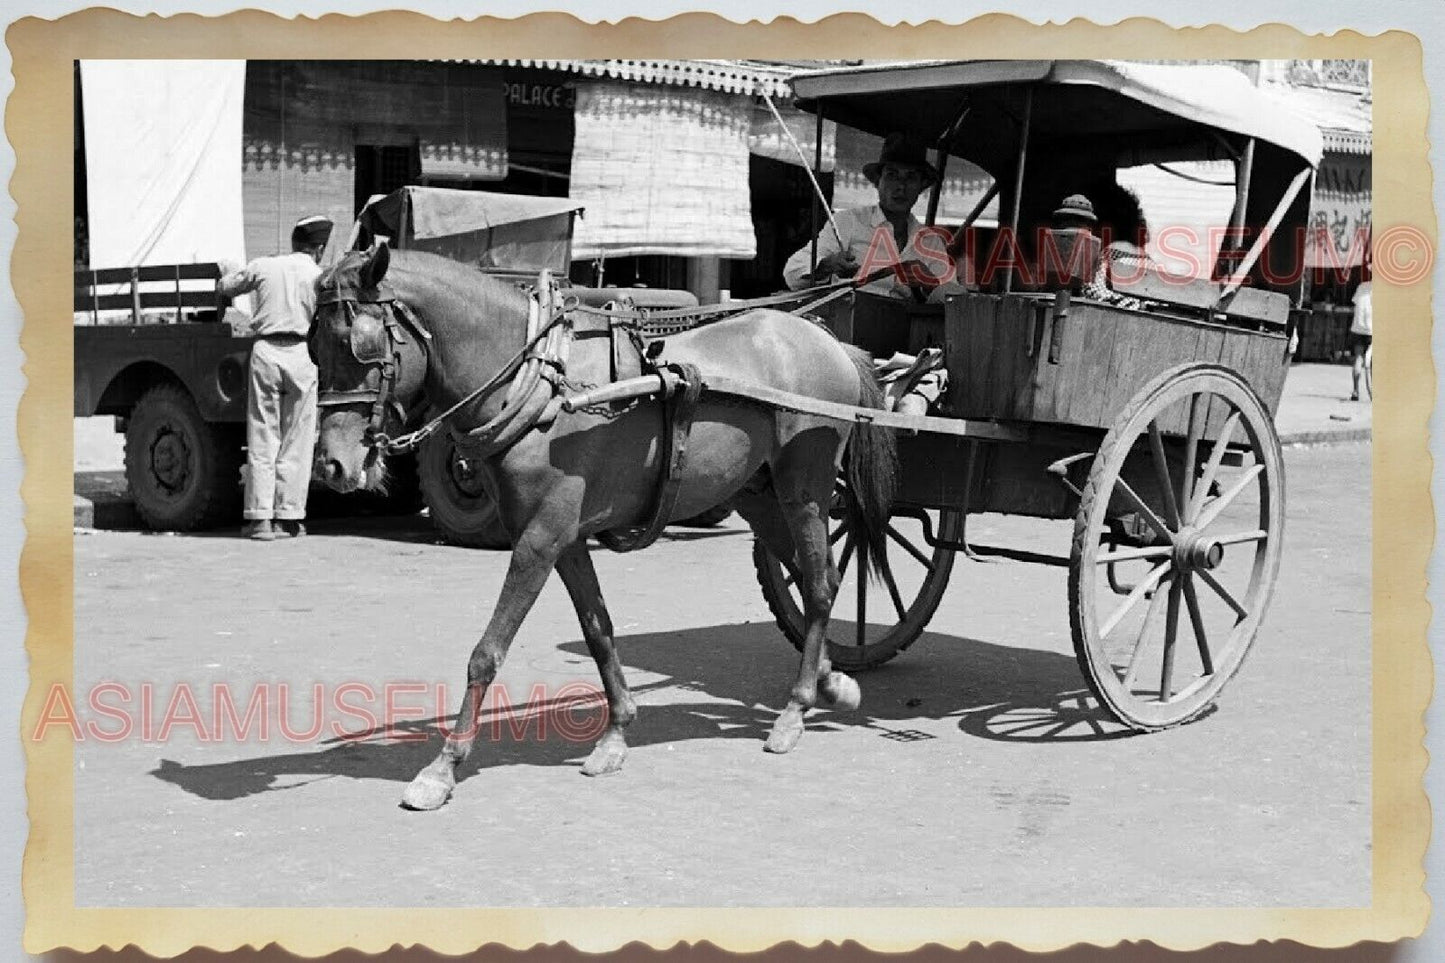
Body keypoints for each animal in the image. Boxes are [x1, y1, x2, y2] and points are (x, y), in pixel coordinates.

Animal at [307, 244, 890, 803]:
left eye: (360, 345)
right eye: (312, 348)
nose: (332, 465)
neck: (543, 386)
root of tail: (827, 341)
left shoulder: (538, 539)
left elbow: (486, 653)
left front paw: (443, 767)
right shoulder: (564, 538)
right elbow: (598, 630)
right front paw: (616, 733)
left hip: (805, 488)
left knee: (820, 584)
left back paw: (795, 708)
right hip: (759, 496)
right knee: (813, 576)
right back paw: (831, 680)